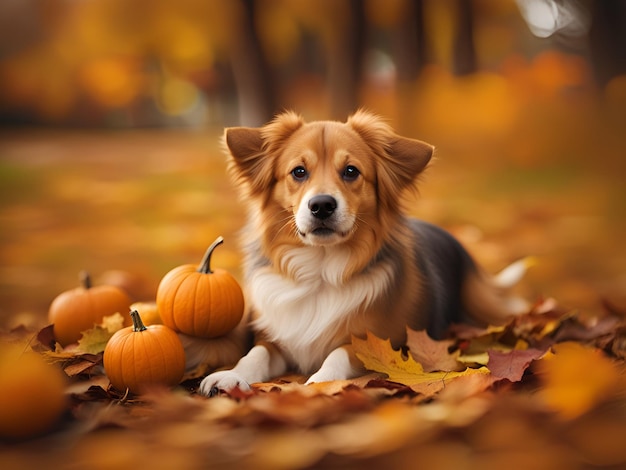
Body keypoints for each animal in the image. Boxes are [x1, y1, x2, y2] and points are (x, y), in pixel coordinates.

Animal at [197, 110, 520, 396]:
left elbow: (341, 353)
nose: (322, 205)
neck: (320, 268)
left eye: (351, 171)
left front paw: (321, 382)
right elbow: (256, 354)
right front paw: (231, 375)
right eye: (298, 172)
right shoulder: (277, 339)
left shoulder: (382, 341)